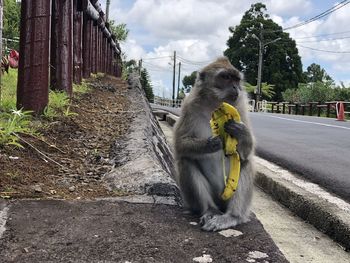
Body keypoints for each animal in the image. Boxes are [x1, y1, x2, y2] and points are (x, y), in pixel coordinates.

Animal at [174, 56, 254, 232]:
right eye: (226, 77)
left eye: (236, 79)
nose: (235, 87)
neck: (215, 106)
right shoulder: (189, 108)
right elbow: (180, 146)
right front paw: (210, 144)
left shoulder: (241, 109)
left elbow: (247, 152)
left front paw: (240, 132)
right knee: (186, 160)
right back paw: (210, 210)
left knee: (245, 163)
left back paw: (232, 216)